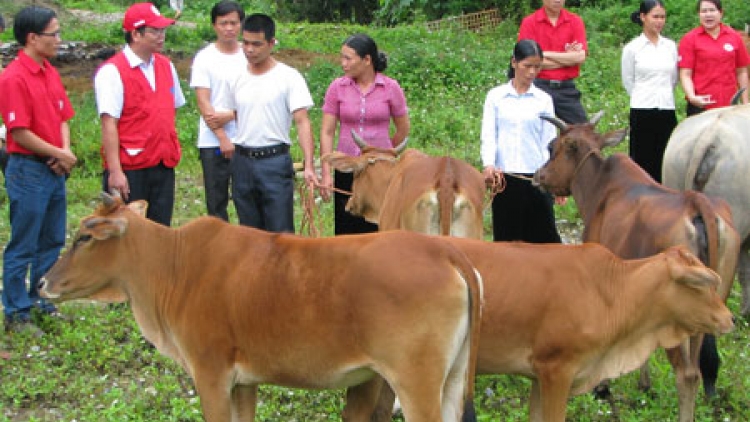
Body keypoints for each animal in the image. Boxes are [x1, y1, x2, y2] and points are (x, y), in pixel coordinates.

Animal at [39, 194, 482, 422]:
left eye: (83, 237)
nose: (42, 283)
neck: (174, 266)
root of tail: (444, 251)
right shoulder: (244, 381)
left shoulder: (211, 373)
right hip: (451, 379)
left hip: (416, 382)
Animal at [536, 112, 740, 422]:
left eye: (552, 147)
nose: (539, 175)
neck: (598, 188)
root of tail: (697, 202)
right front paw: (643, 383)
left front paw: (602, 386)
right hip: (712, 303)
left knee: (686, 374)